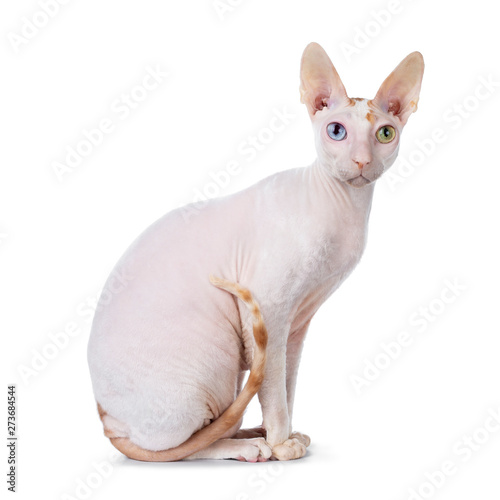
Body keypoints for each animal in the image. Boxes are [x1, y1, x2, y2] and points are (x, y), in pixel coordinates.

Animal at [88, 42, 424, 460]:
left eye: (385, 133)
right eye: (336, 131)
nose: (362, 160)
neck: (345, 207)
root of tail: (106, 420)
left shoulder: (296, 324)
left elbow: (285, 382)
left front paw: (283, 431)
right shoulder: (269, 308)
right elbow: (273, 386)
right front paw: (281, 443)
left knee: (215, 425)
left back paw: (249, 432)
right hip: (215, 360)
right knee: (185, 446)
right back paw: (249, 446)